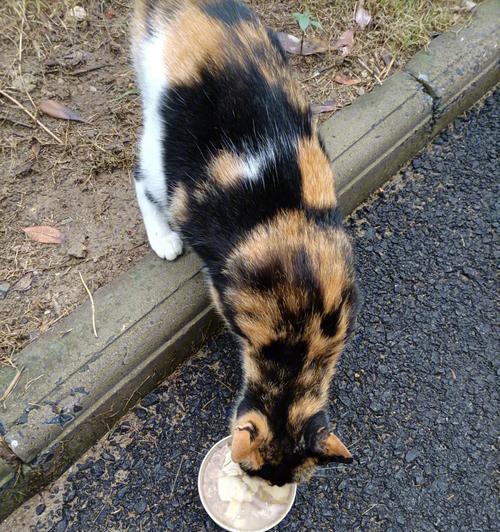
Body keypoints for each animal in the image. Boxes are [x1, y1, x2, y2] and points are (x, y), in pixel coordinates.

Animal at [133, 0, 358, 484]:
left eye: (276, 482)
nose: (261, 487)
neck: (302, 332)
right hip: (163, 149)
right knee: (140, 177)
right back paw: (163, 238)